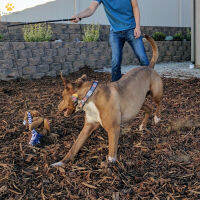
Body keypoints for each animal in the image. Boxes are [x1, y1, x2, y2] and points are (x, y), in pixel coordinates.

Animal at [52, 34, 162, 167]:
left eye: (62, 96)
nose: (57, 107)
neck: (89, 96)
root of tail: (149, 67)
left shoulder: (113, 129)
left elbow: (112, 151)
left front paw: (109, 164)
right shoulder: (88, 126)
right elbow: (74, 147)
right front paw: (60, 162)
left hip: (155, 93)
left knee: (159, 104)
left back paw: (157, 118)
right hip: (138, 104)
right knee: (149, 108)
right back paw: (142, 125)